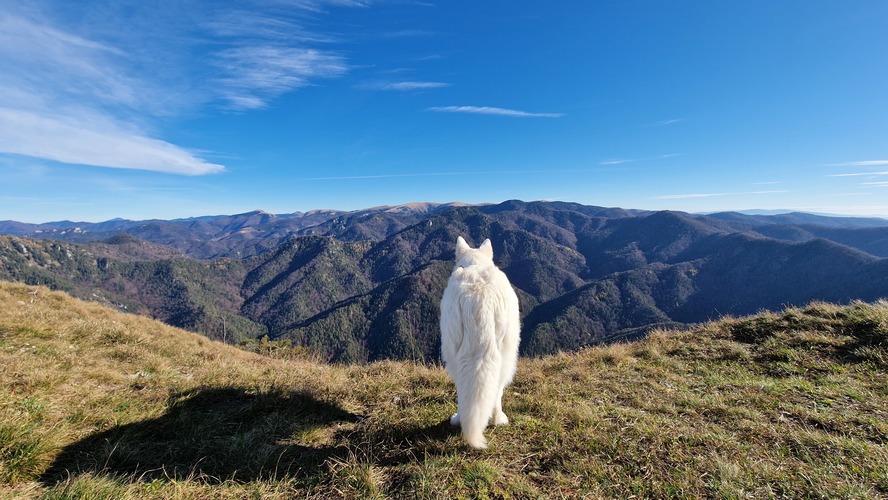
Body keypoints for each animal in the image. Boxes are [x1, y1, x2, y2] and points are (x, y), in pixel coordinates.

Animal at [438, 235, 520, 450]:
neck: (474, 264)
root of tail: (479, 299)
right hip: (505, 352)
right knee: (496, 389)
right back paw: (497, 419)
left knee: (464, 389)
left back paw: (461, 419)